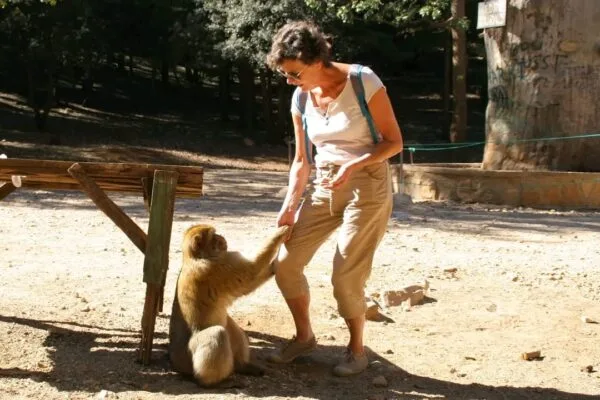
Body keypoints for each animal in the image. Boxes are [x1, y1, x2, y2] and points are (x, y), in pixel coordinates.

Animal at [169, 223, 290, 386]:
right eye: (214, 236)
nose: (222, 237)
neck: (194, 258)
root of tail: (175, 363)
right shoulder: (216, 268)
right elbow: (250, 272)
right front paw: (280, 233)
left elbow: (248, 284)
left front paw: (274, 266)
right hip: (189, 356)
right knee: (218, 333)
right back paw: (213, 382)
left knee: (231, 328)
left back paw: (242, 366)